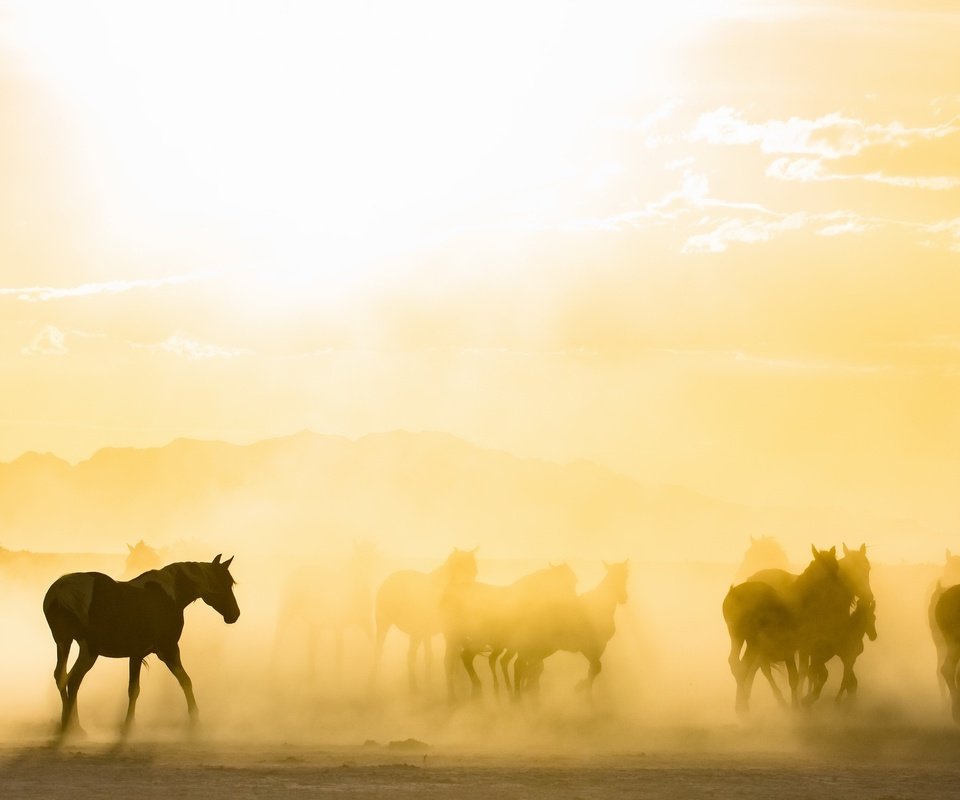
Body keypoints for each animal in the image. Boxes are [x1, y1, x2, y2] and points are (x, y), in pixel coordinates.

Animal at [43, 552, 240, 736]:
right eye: (225, 583)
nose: (235, 614)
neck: (170, 595)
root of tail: (59, 592)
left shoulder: (136, 654)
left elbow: (133, 690)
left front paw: (129, 725)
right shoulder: (168, 649)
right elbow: (185, 681)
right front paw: (195, 721)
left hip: (64, 642)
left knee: (62, 676)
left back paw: (68, 724)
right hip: (89, 650)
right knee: (73, 680)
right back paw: (73, 727)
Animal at [370, 548, 478, 692]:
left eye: (474, 570)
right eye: (458, 568)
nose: (469, 591)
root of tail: (389, 579)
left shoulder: (438, 632)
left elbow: (435, 657)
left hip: (419, 633)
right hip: (387, 625)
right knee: (387, 653)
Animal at [440, 564, 576, 700]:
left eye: (574, 581)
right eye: (564, 582)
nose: (573, 601)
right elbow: (527, 668)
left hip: (457, 640)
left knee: (452, 662)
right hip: (471, 640)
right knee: (464, 657)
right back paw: (477, 688)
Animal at [510, 564, 632, 700]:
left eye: (626, 576)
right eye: (614, 578)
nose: (623, 598)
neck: (600, 607)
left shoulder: (599, 646)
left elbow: (594, 668)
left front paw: (582, 688)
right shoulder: (590, 646)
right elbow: (596, 667)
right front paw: (583, 691)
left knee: (526, 666)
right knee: (525, 666)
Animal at [724, 548, 852, 716]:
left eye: (837, 566)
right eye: (830, 571)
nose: (846, 594)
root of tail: (734, 593)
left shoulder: (797, 648)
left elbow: (802, 675)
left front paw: (799, 703)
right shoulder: (792, 648)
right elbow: (795, 677)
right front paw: (796, 706)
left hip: (742, 638)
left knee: (740, 664)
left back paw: (743, 704)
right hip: (749, 640)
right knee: (745, 666)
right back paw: (745, 705)